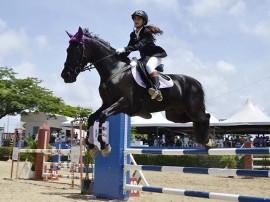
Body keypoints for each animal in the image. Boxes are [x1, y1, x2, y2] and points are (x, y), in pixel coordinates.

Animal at [60, 26, 215, 157]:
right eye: (67, 50)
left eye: (75, 50)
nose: (65, 76)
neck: (114, 69)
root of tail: (196, 82)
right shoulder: (107, 103)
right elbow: (92, 118)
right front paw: (92, 147)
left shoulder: (125, 103)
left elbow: (103, 116)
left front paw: (105, 146)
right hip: (175, 115)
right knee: (197, 121)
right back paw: (204, 141)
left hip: (192, 109)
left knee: (205, 117)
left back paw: (208, 141)